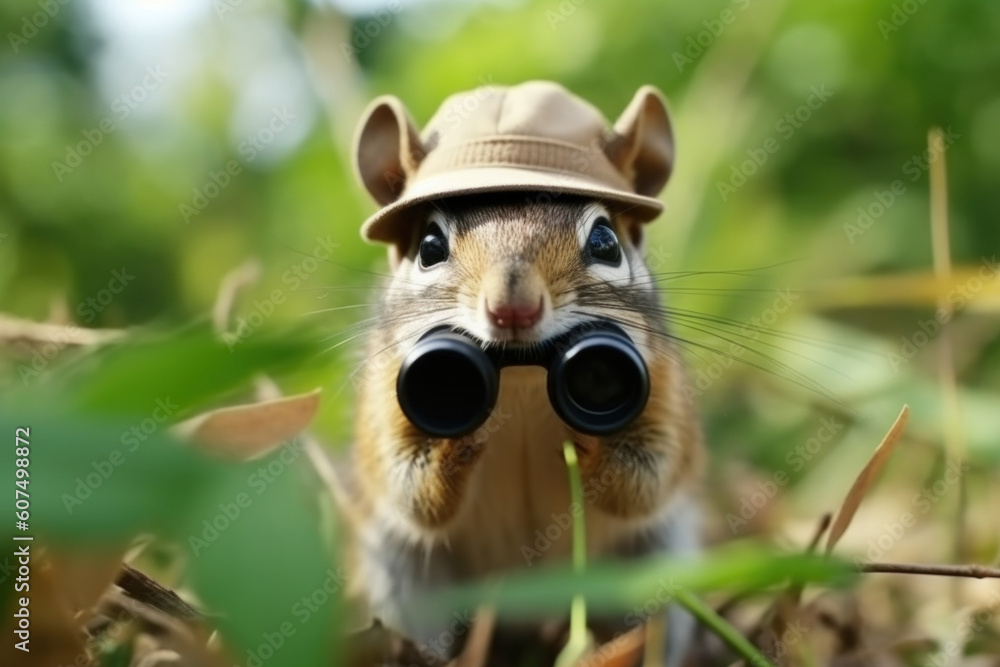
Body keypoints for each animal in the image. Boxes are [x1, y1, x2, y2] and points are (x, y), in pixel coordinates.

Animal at [345, 82, 704, 663]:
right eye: (429, 246)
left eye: (606, 241)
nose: (512, 307)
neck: (520, 383)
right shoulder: (385, 400)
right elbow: (411, 489)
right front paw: (457, 445)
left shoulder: (664, 390)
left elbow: (647, 478)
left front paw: (590, 445)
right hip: (401, 574)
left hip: (657, 560)